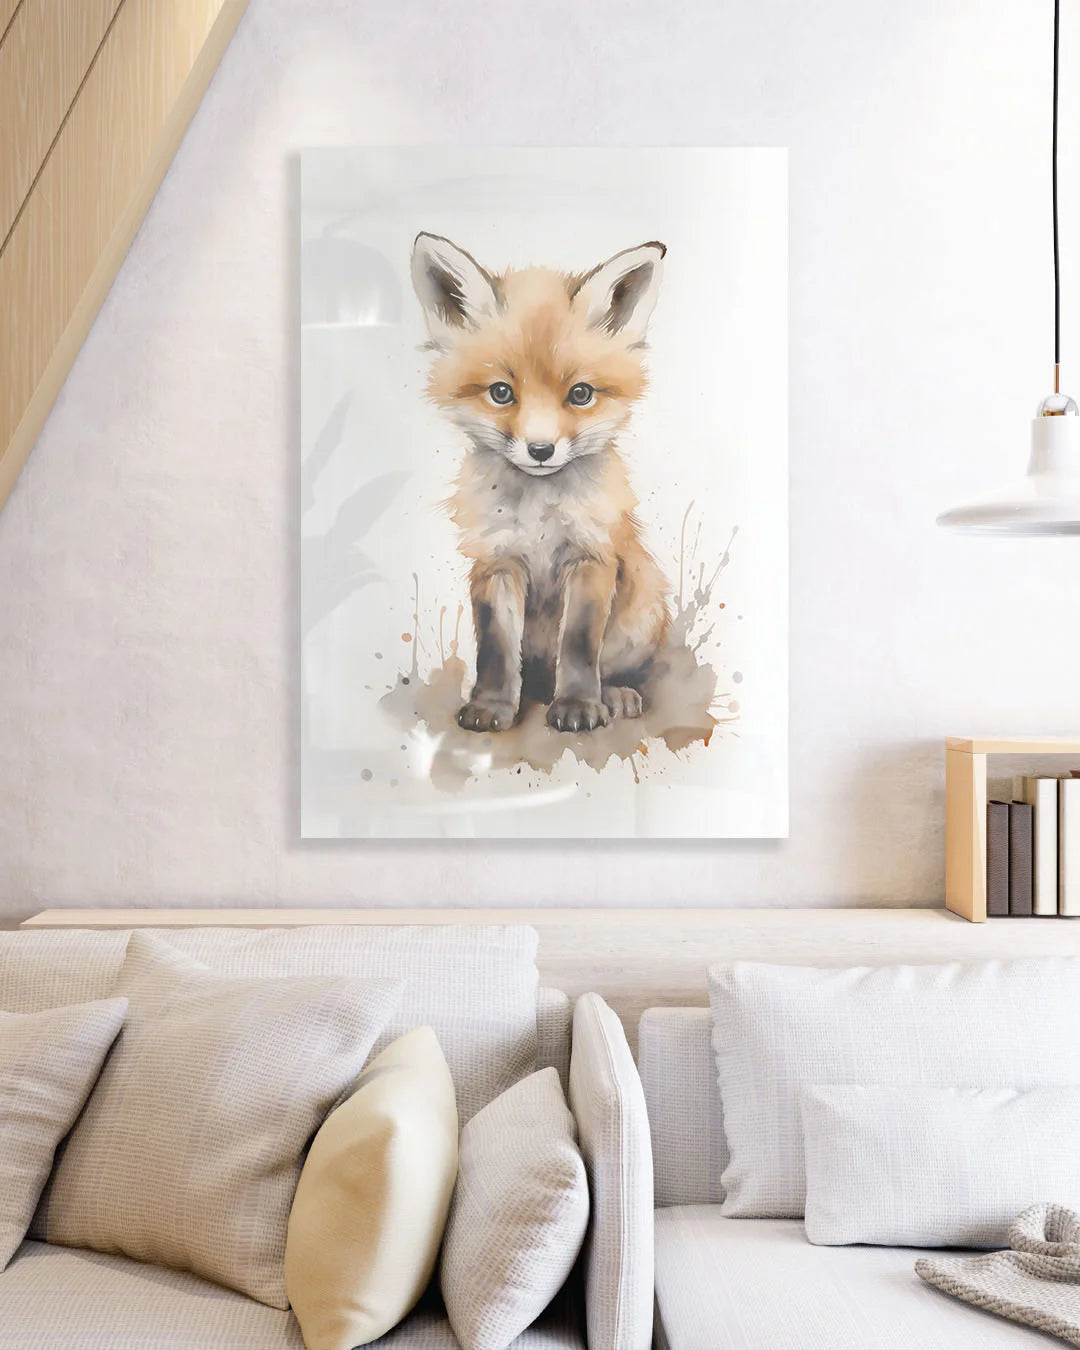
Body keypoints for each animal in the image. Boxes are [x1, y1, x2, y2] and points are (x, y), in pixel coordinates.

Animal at [411, 231, 672, 734]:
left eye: (580, 394)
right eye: (501, 392)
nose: (541, 450)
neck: (539, 515)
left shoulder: (590, 556)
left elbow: (579, 645)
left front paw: (577, 705)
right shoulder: (496, 560)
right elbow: (495, 650)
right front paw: (492, 706)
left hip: (642, 615)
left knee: (613, 666)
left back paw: (614, 694)